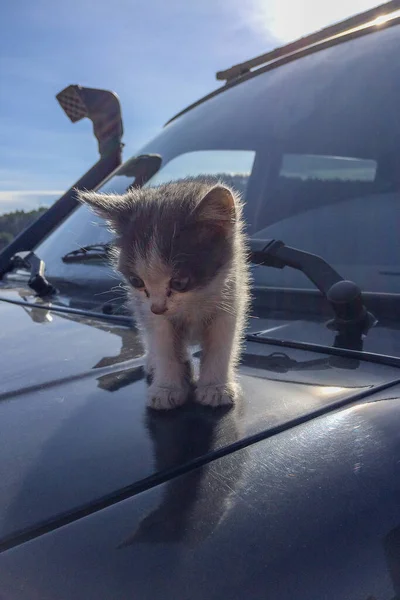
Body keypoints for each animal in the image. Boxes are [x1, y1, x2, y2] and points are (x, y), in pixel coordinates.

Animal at [77, 178, 250, 410]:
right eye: (136, 281)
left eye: (179, 282)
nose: (158, 307)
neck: (196, 300)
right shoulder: (151, 312)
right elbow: (163, 343)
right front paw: (166, 388)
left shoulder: (231, 297)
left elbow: (221, 344)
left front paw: (215, 387)